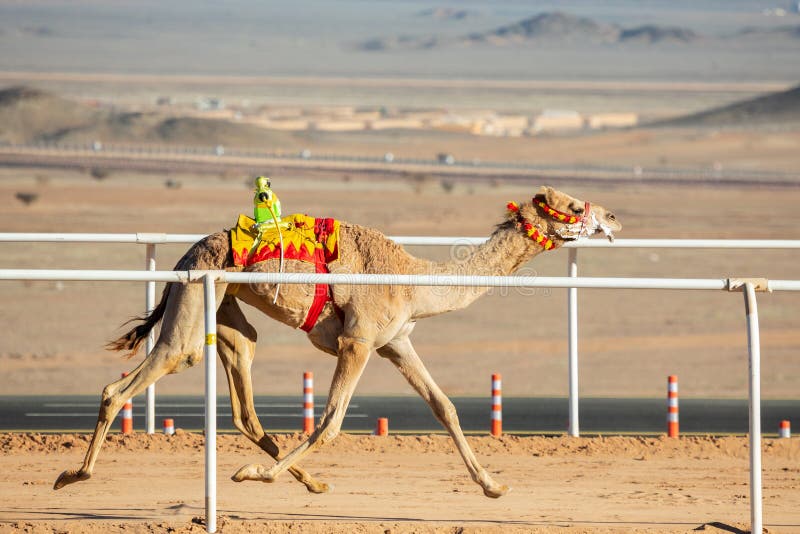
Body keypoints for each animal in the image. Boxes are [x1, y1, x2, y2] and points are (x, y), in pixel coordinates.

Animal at [54, 186, 621, 498]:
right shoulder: (359, 341)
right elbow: (329, 422)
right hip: (195, 301)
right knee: (134, 379)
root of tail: (183, 257)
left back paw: (309, 480)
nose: (614, 217)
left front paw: (495, 486)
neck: (413, 280)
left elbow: (445, 407)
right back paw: (72, 476)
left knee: (245, 395)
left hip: (227, 307)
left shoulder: (396, 342)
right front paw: (256, 476)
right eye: (573, 206)